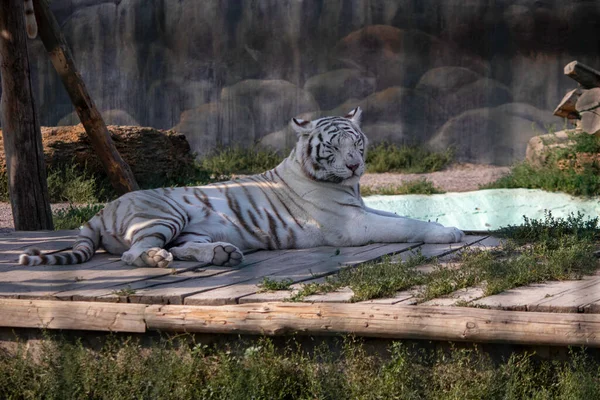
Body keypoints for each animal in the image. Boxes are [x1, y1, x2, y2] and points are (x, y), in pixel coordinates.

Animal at [19, 108, 464, 268]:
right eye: (334, 148)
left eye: (357, 142)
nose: (355, 165)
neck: (346, 189)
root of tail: (100, 210)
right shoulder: (352, 223)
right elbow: (404, 225)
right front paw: (450, 232)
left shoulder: (364, 209)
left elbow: (396, 213)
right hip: (162, 214)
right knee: (133, 253)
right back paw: (160, 259)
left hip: (189, 228)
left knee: (183, 247)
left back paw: (222, 253)